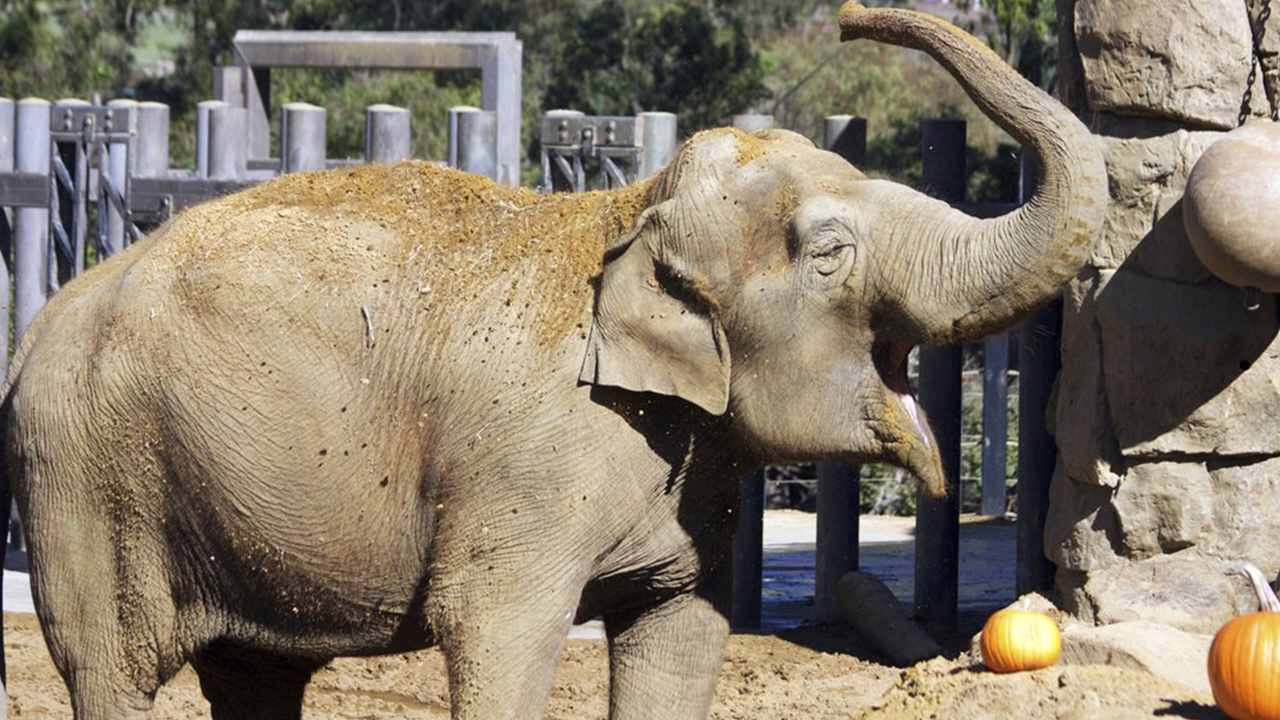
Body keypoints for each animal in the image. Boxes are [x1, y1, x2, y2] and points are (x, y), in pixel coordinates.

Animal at [0, 2, 1100, 712]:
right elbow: (496, 633)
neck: (629, 207)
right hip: (83, 481)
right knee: (112, 671)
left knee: (256, 675)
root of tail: (41, 326)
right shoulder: (524, 469)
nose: (848, 15)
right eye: (828, 252)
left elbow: (681, 633)